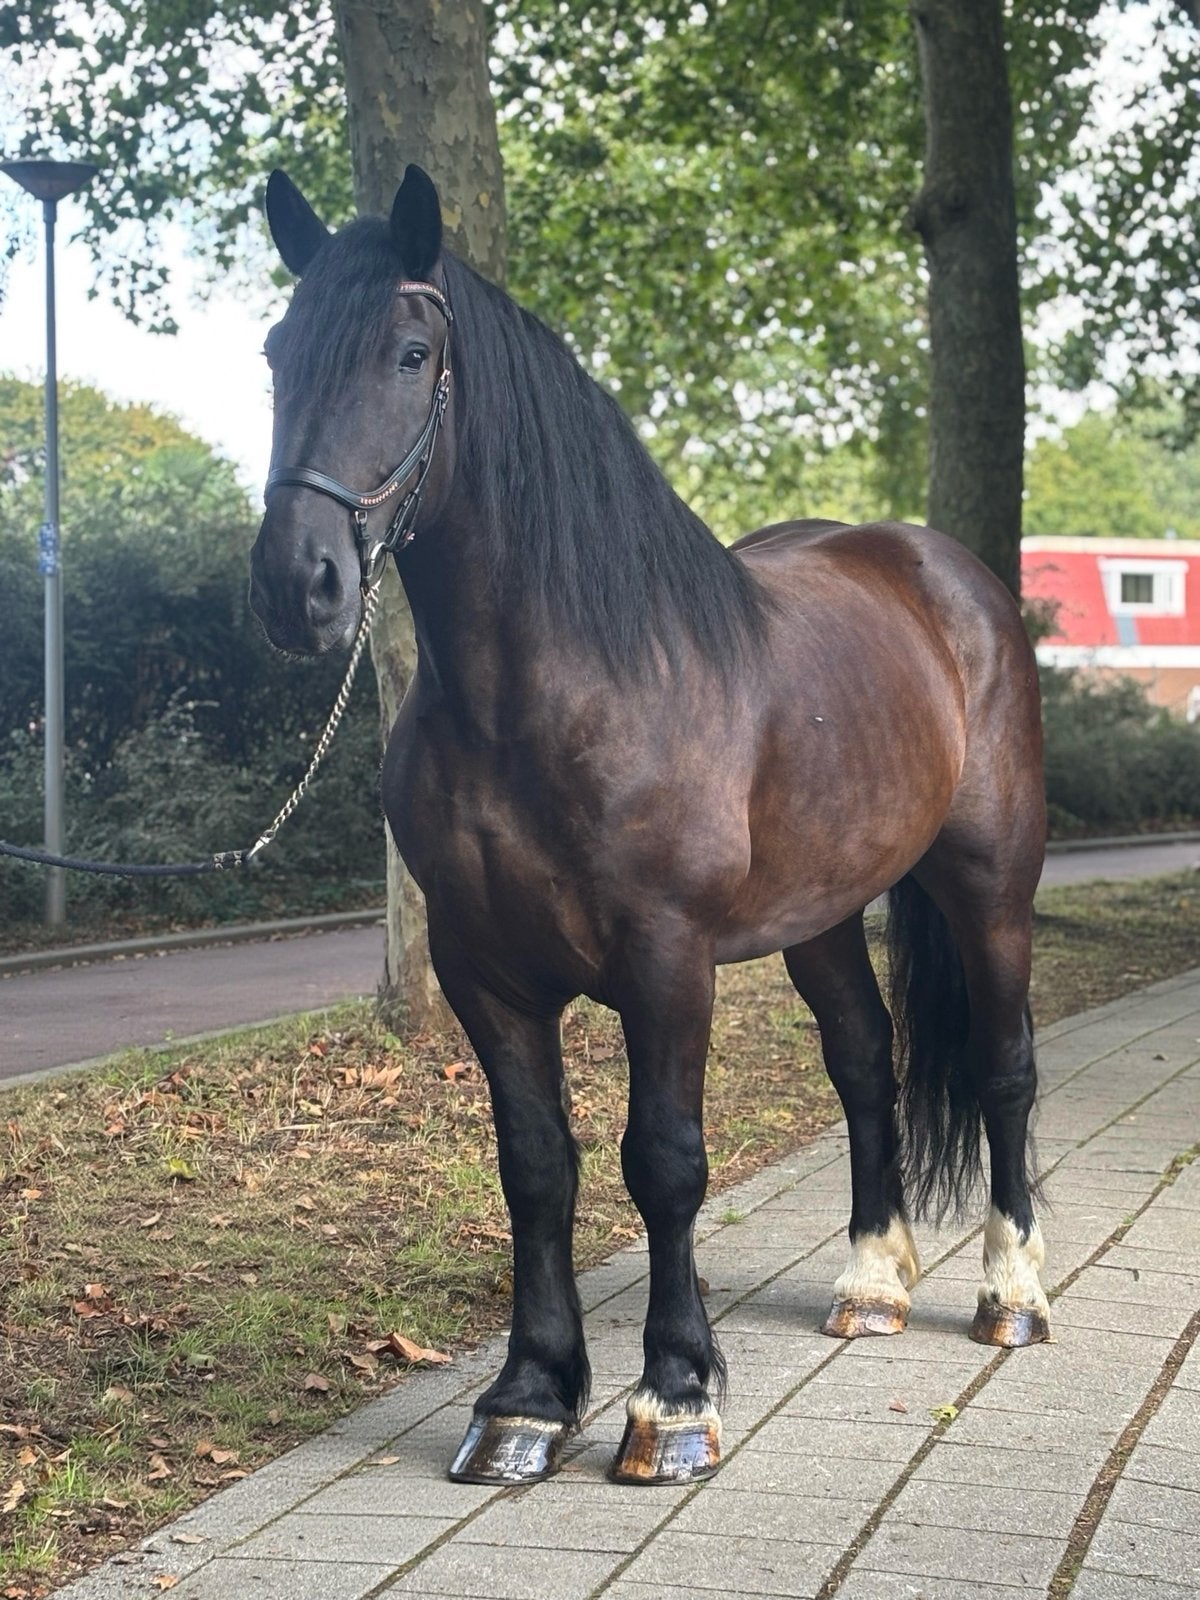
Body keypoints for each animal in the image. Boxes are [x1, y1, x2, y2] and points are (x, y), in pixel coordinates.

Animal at [249, 164, 1048, 1488]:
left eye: (411, 353)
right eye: (274, 352)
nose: (294, 584)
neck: (550, 692)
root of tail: (948, 575)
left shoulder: (666, 957)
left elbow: (664, 1161)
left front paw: (671, 1399)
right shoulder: (482, 969)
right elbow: (535, 1164)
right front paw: (526, 1399)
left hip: (991, 887)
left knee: (1003, 1067)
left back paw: (1013, 1294)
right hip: (821, 915)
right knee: (865, 1064)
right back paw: (870, 1282)